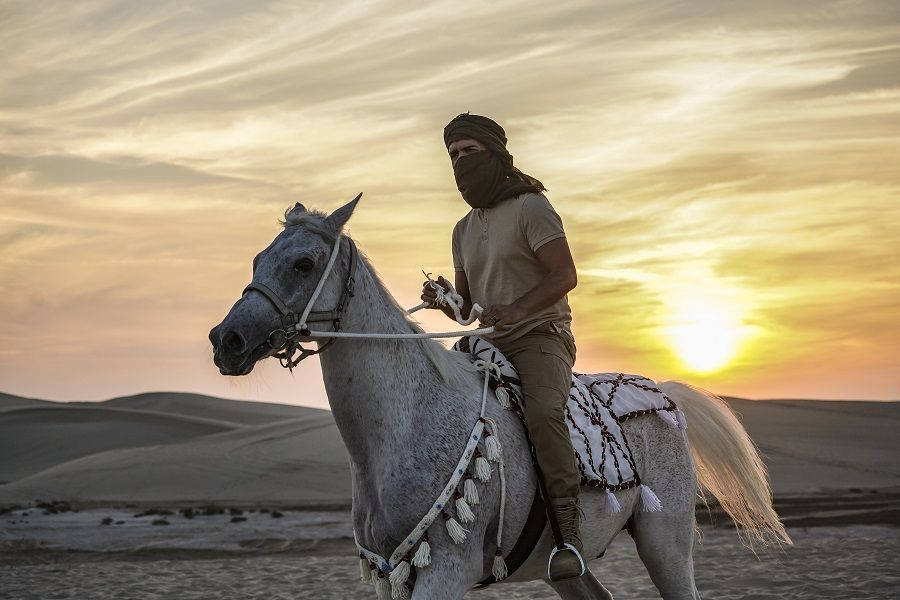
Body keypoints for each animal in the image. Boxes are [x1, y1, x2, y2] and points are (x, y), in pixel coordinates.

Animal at [209, 195, 788, 596]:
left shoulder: (446, 570)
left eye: (303, 263)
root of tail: (664, 395)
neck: (403, 426)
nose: (226, 340)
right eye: (259, 258)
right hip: (566, 571)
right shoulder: (394, 575)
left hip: (665, 542)